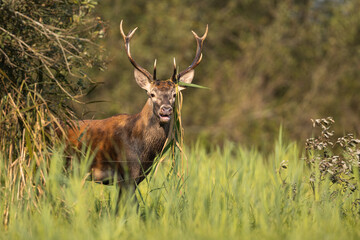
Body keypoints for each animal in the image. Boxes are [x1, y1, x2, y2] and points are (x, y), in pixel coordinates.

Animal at [63, 20, 207, 202]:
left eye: (174, 94)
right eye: (151, 94)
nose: (166, 110)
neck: (143, 150)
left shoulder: (138, 177)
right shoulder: (126, 173)